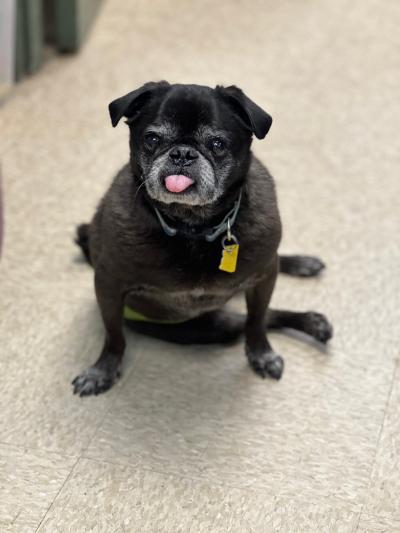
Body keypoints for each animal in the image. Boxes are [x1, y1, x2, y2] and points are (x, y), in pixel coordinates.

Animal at [72, 82, 332, 394]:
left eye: (217, 144)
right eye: (151, 139)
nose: (182, 153)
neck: (193, 227)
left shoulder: (264, 278)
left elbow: (257, 322)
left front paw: (261, 353)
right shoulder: (108, 285)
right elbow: (113, 335)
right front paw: (104, 369)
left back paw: (306, 283)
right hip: (213, 326)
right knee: (257, 318)